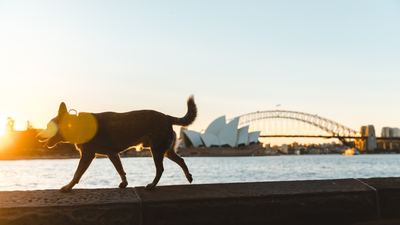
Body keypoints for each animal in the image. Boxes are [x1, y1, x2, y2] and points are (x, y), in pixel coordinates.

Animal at [36, 96, 196, 192]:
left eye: (49, 126)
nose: (37, 136)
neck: (76, 125)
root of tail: (167, 117)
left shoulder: (87, 155)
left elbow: (77, 174)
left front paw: (68, 187)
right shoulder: (112, 154)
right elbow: (120, 170)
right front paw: (124, 183)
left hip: (156, 150)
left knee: (160, 169)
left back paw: (151, 185)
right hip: (166, 150)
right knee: (181, 160)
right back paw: (188, 176)